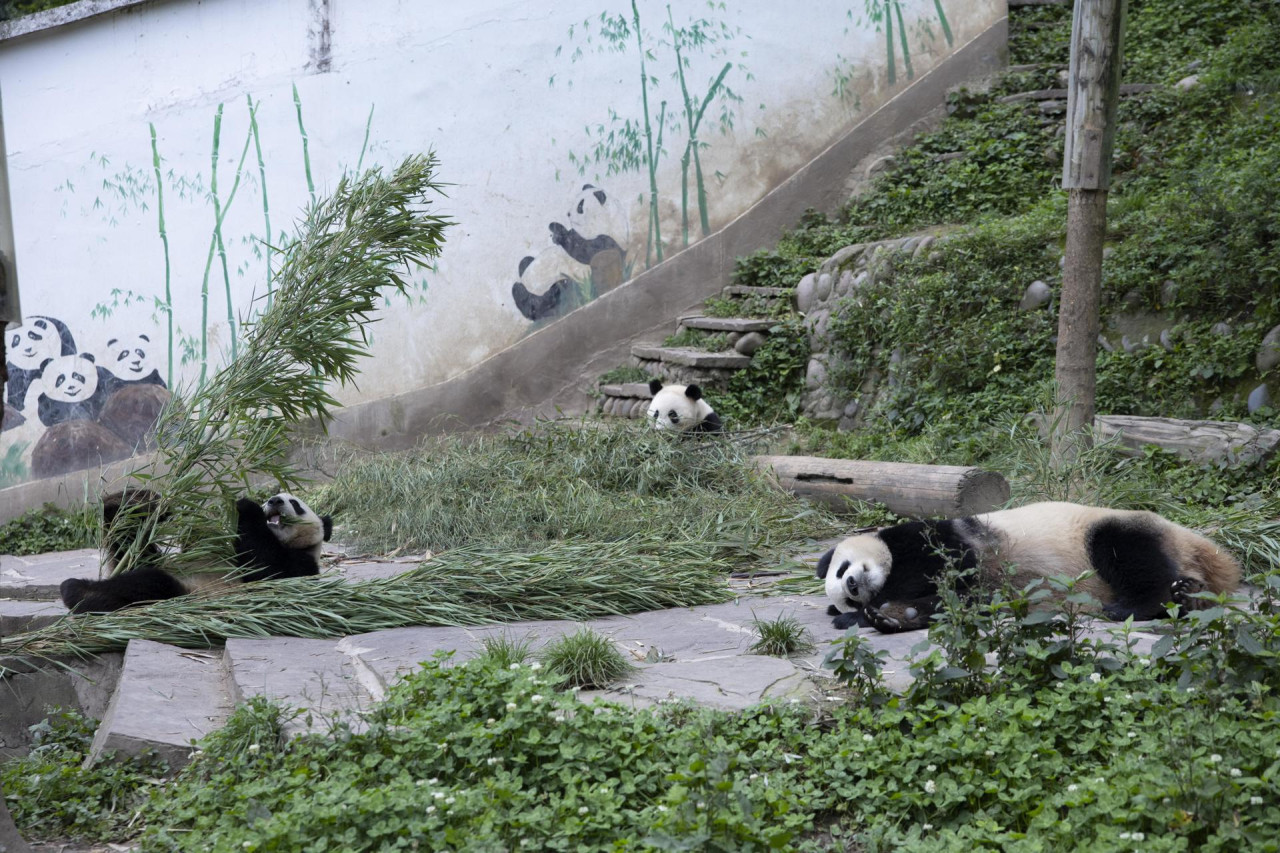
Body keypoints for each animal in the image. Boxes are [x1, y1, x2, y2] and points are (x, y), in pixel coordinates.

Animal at [61, 484, 332, 612]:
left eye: (295, 504)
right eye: (272, 499)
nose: (273, 500)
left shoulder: (300, 565)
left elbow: (264, 569)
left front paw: (246, 505)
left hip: (187, 592)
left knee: (148, 583)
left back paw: (79, 592)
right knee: (131, 548)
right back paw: (126, 504)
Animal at [509, 183, 629, 322]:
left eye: (580, 206)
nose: (568, 214)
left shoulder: (608, 239)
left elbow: (583, 251)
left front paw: (561, 235)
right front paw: (554, 227)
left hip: (561, 285)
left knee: (548, 298)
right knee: (524, 263)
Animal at [814, 499, 1244, 630]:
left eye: (842, 568)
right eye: (846, 592)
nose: (853, 587)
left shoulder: (935, 538)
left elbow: (948, 566)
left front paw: (877, 610)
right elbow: (960, 601)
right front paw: (889, 614)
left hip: (1115, 527)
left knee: (1125, 551)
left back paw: (1131, 606)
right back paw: (1187, 596)